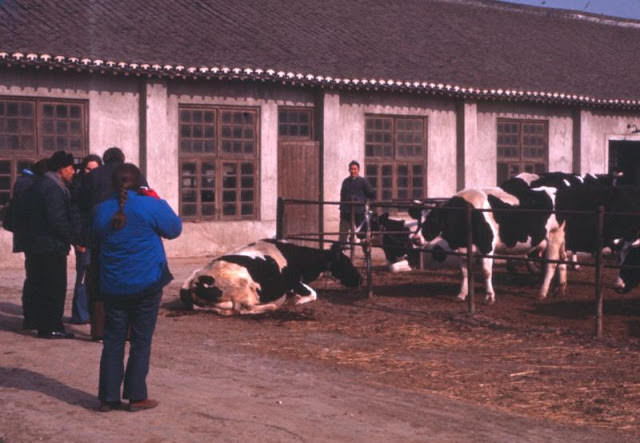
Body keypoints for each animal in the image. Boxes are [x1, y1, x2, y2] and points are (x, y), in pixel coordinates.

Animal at [178, 239, 362, 316]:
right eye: (346, 262)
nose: (360, 279)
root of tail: (194, 281)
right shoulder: (294, 282)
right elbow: (313, 294)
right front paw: (294, 301)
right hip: (244, 290)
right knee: (243, 309)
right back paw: (273, 306)